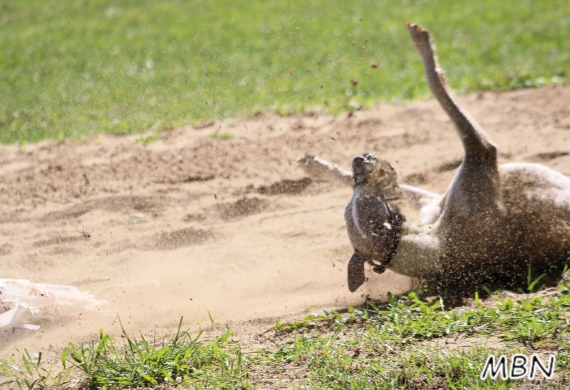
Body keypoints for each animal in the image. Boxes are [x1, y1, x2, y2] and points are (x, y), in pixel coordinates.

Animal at [300, 22, 564, 294]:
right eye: (365, 198)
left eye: (351, 201)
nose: (359, 159)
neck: (432, 246)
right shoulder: (480, 153)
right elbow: (436, 84)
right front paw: (425, 46)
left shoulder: (431, 202)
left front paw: (319, 166)